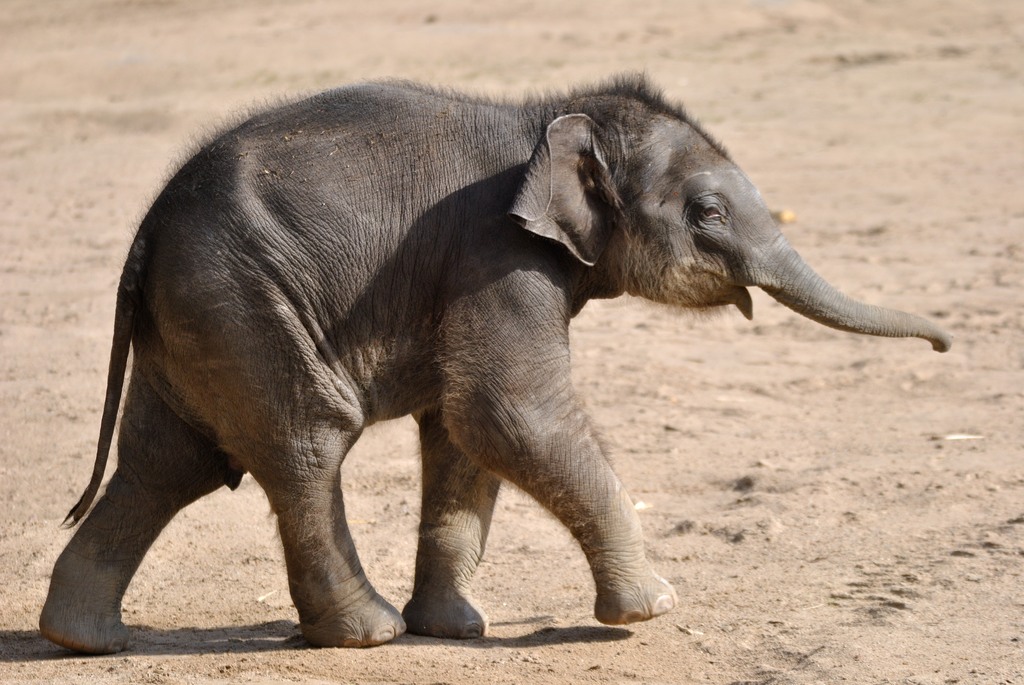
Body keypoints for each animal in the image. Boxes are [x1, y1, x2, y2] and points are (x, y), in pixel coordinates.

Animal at [39, 74, 951, 654]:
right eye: (709, 212)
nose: (946, 344)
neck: (550, 114)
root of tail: (149, 225)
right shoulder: (495, 255)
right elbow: (506, 414)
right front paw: (652, 608)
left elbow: (460, 434)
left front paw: (456, 628)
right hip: (246, 301)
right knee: (304, 445)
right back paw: (368, 633)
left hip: (203, 317)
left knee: (168, 460)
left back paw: (80, 638)